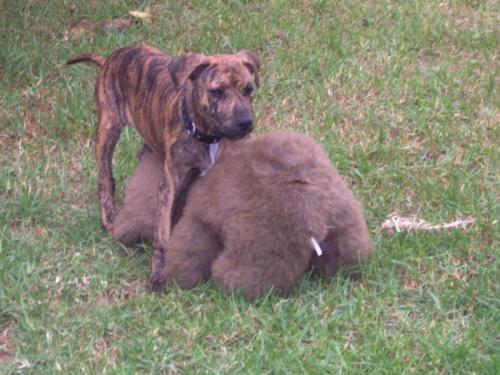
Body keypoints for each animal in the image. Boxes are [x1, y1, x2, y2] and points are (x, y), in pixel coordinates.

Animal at [67, 44, 260, 290]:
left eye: (248, 89)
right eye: (217, 91)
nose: (245, 123)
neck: (208, 136)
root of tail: (113, 56)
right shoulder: (170, 187)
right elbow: (162, 235)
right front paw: (158, 275)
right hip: (108, 128)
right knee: (105, 179)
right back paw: (109, 219)